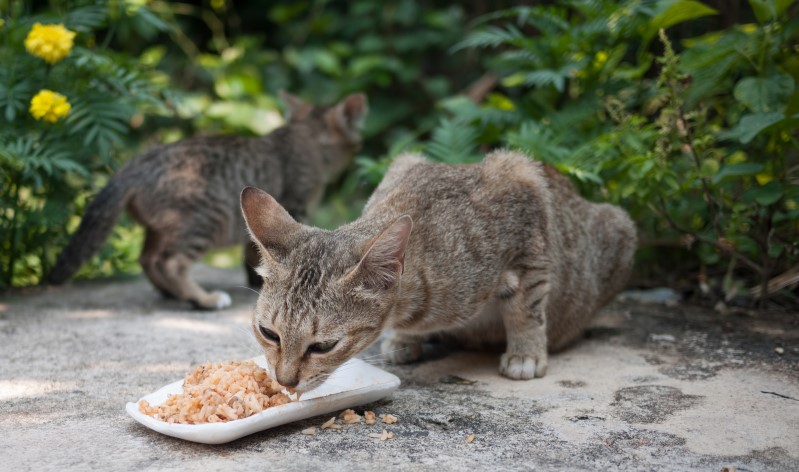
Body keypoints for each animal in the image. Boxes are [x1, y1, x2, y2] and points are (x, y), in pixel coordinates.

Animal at [45, 91, 368, 310]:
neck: (304, 134)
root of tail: (134, 164)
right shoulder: (294, 207)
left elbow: (254, 254)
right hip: (205, 220)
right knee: (171, 262)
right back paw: (203, 299)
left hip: (162, 228)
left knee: (147, 258)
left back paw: (172, 293)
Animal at [239, 149, 636, 390]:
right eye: (268, 333)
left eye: (323, 346)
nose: (284, 382)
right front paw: (404, 339)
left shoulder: (524, 200)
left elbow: (526, 310)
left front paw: (526, 353)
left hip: (620, 227)